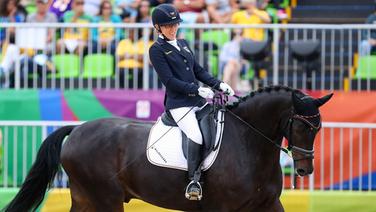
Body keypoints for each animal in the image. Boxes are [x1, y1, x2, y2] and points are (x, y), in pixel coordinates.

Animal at [2, 85, 332, 211]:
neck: (249, 144)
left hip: (85, 197)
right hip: (105, 199)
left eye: (318, 129)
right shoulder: (223, 207)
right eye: (302, 127)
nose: (305, 170)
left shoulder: (268, 204)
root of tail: (79, 129)